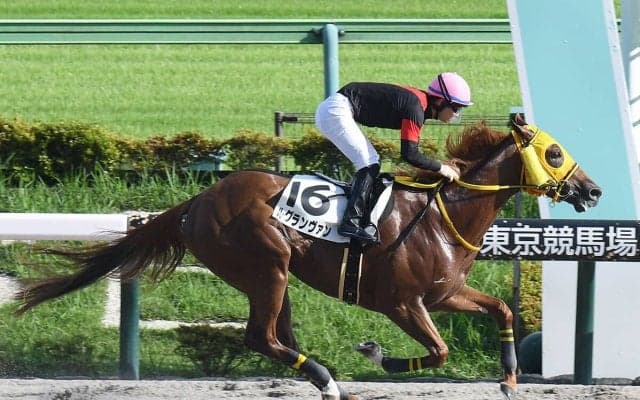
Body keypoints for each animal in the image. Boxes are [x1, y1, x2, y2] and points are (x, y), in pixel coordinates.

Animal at [14, 115, 601, 400]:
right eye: (554, 153)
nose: (592, 191)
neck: (440, 215)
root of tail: (195, 202)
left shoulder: (445, 292)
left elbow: (499, 310)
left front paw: (509, 378)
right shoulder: (403, 304)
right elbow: (438, 353)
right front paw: (376, 355)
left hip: (273, 276)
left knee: (278, 335)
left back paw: (325, 382)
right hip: (265, 265)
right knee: (261, 337)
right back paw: (328, 379)